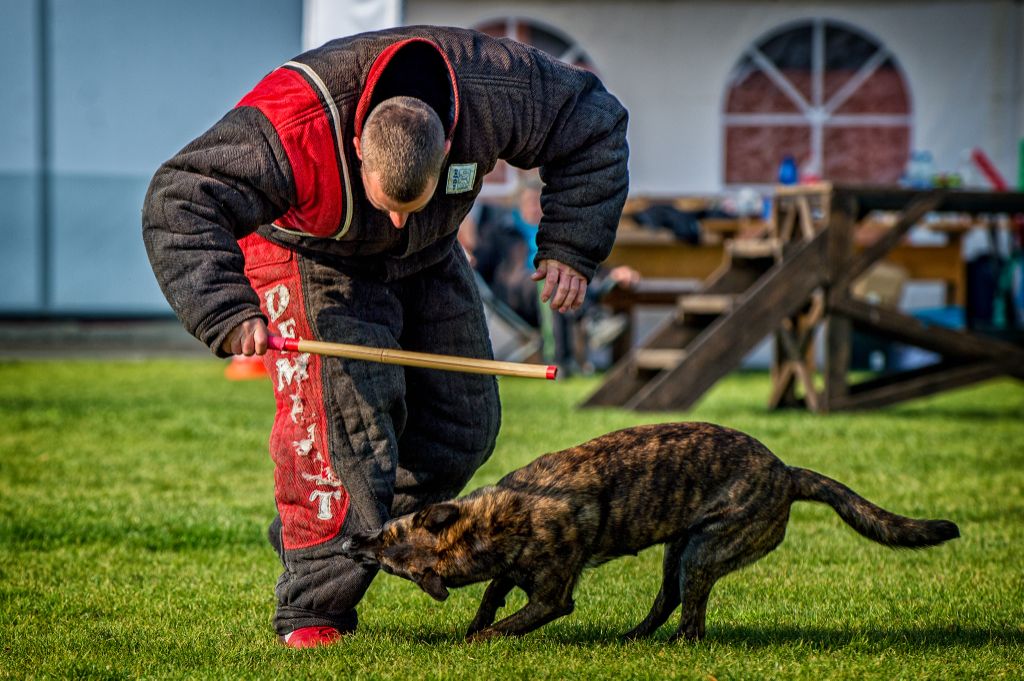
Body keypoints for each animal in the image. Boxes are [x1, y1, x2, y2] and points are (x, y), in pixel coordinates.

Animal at [339, 421, 954, 639]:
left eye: (387, 551)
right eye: (388, 534)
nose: (349, 541)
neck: (493, 524)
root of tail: (785, 472)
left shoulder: (553, 598)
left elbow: (511, 621)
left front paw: (478, 641)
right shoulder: (511, 569)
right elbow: (492, 597)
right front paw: (474, 624)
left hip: (706, 551)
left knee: (693, 618)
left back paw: (680, 647)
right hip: (678, 551)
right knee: (668, 600)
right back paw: (635, 638)